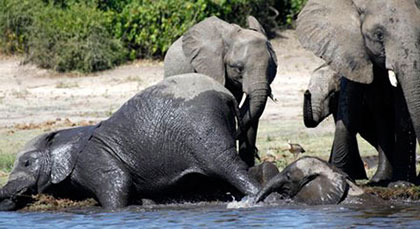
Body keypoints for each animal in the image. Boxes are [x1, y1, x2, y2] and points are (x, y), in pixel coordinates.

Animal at [0, 74, 266, 211]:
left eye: (26, 163)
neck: (63, 137)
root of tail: (228, 95)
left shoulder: (93, 158)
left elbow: (119, 183)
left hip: (203, 129)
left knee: (227, 166)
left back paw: (257, 198)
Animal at [296, 0, 420, 182]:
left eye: (331, 95)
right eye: (379, 35)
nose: (306, 92)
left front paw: (398, 183)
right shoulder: (351, 54)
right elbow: (355, 108)